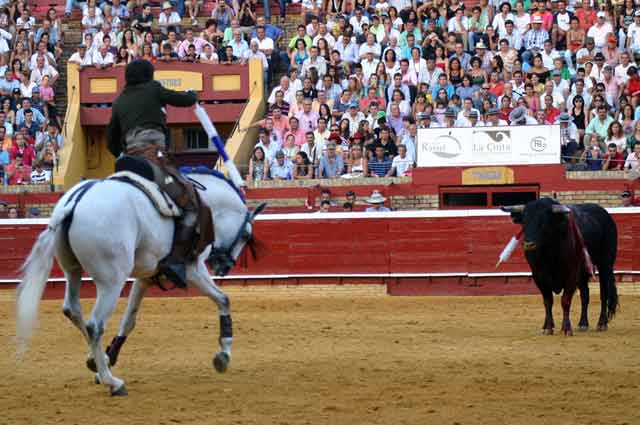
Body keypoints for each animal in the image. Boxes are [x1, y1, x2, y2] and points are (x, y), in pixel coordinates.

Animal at [16, 171, 264, 394]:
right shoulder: (193, 269)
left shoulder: (145, 277)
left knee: (73, 310)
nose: (225, 267)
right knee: (95, 324)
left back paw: (99, 363)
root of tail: (75, 202)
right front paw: (223, 354)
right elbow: (223, 299)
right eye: (246, 236)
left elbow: (129, 320)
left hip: (72, 270)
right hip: (111, 281)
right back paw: (112, 382)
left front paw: (106, 358)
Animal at [502, 199, 616, 334]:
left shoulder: (571, 273)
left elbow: (565, 300)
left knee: (604, 293)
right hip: (583, 271)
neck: (549, 252)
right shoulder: (538, 275)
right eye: (524, 222)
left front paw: (566, 329)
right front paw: (547, 328)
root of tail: (606, 215)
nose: (528, 244)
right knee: (585, 294)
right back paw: (583, 324)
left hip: (605, 263)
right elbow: (547, 301)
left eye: (544, 223)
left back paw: (602, 323)